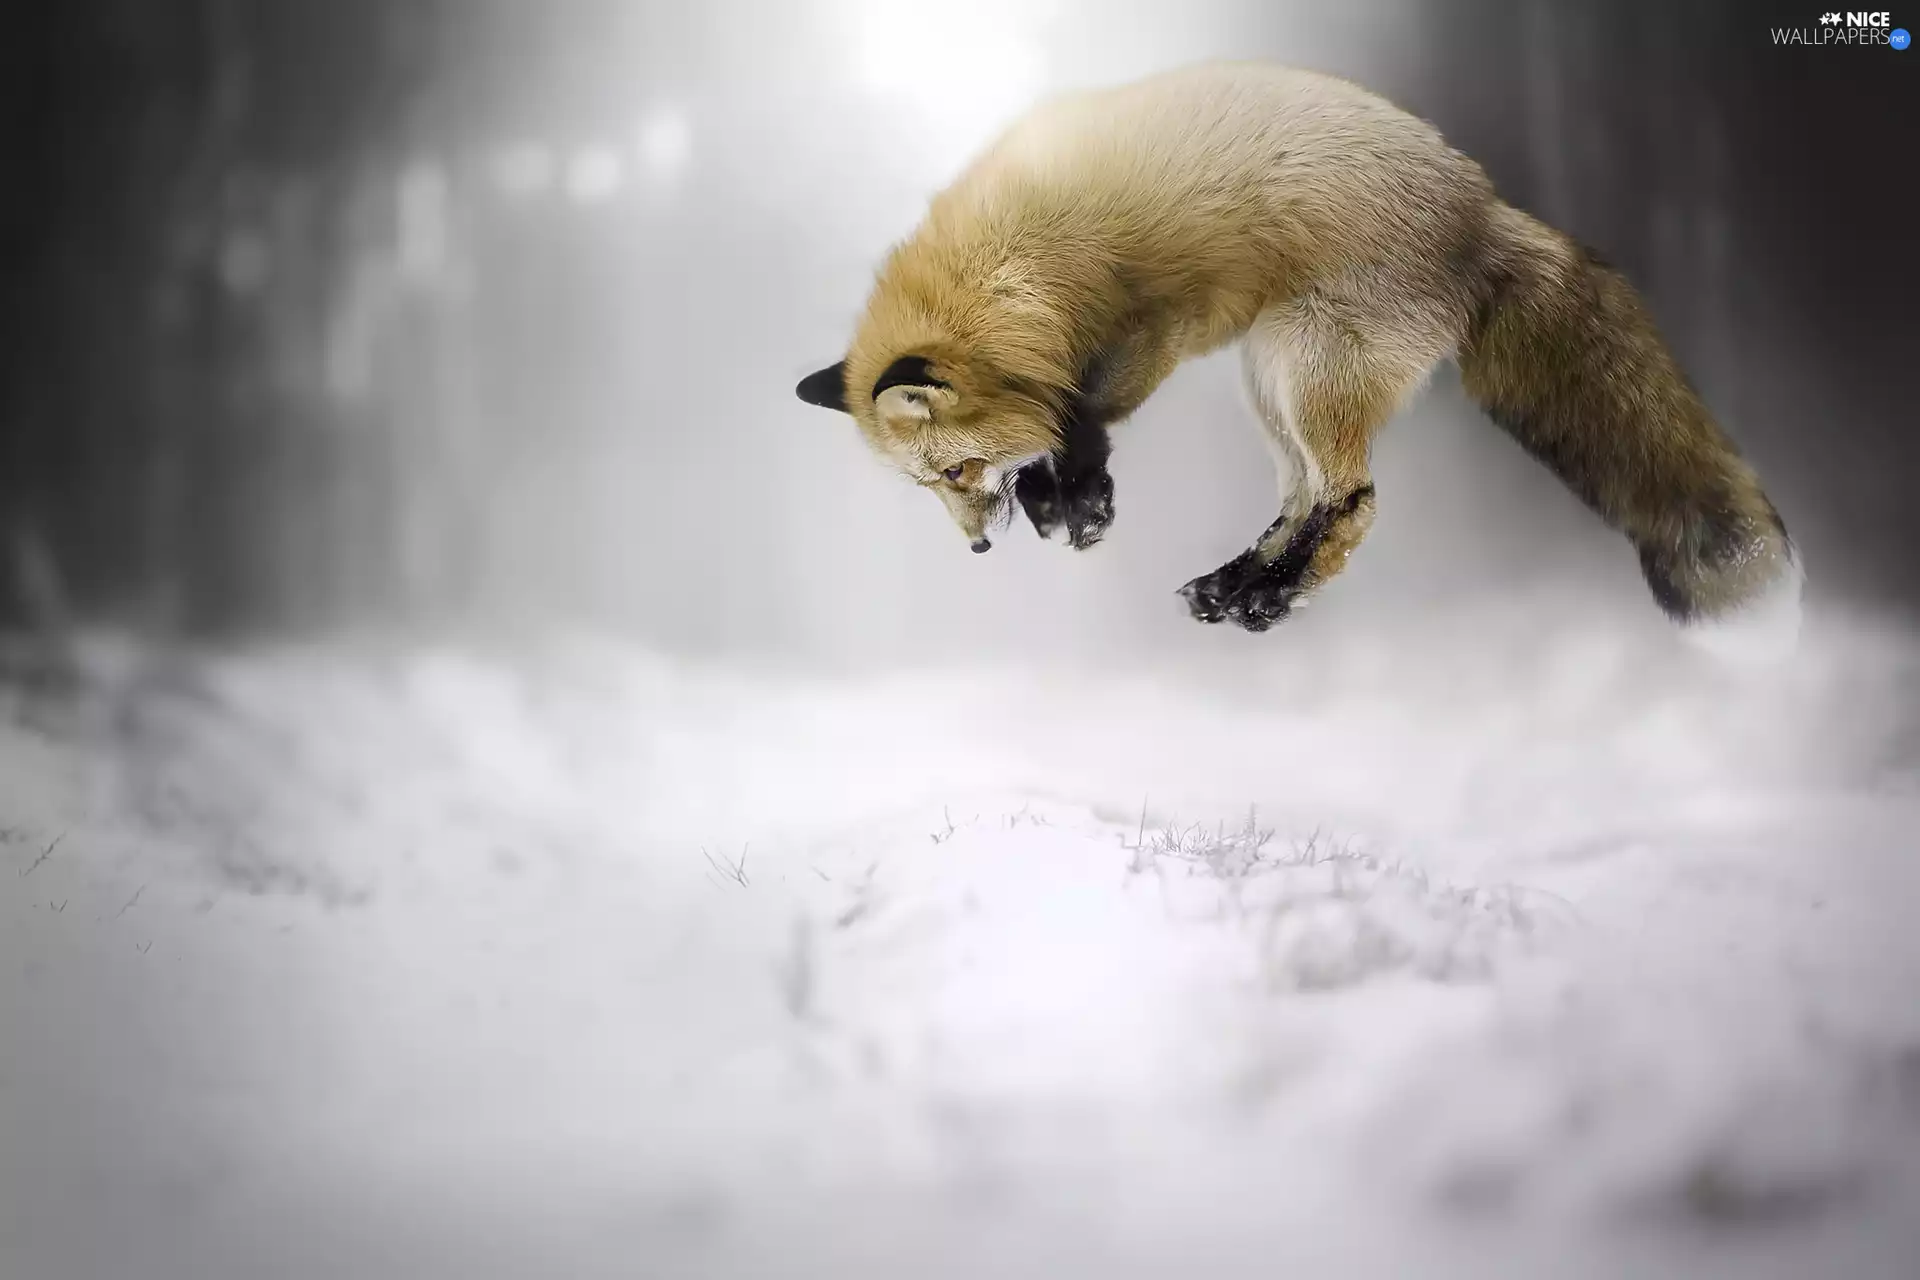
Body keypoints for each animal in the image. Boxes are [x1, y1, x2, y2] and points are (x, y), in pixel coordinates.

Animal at [795, 61, 1803, 652]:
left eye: (955, 470)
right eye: (929, 488)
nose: (973, 549)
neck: (1024, 269)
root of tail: (1481, 209)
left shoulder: (1153, 325)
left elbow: (1083, 414)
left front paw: (1075, 498)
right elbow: (1067, 418)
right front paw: (1065, 497)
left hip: (1309, 367)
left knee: (1353, 502)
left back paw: (1270, 597)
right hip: (1272, 380)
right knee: (1304, 497)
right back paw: (1241, 586)